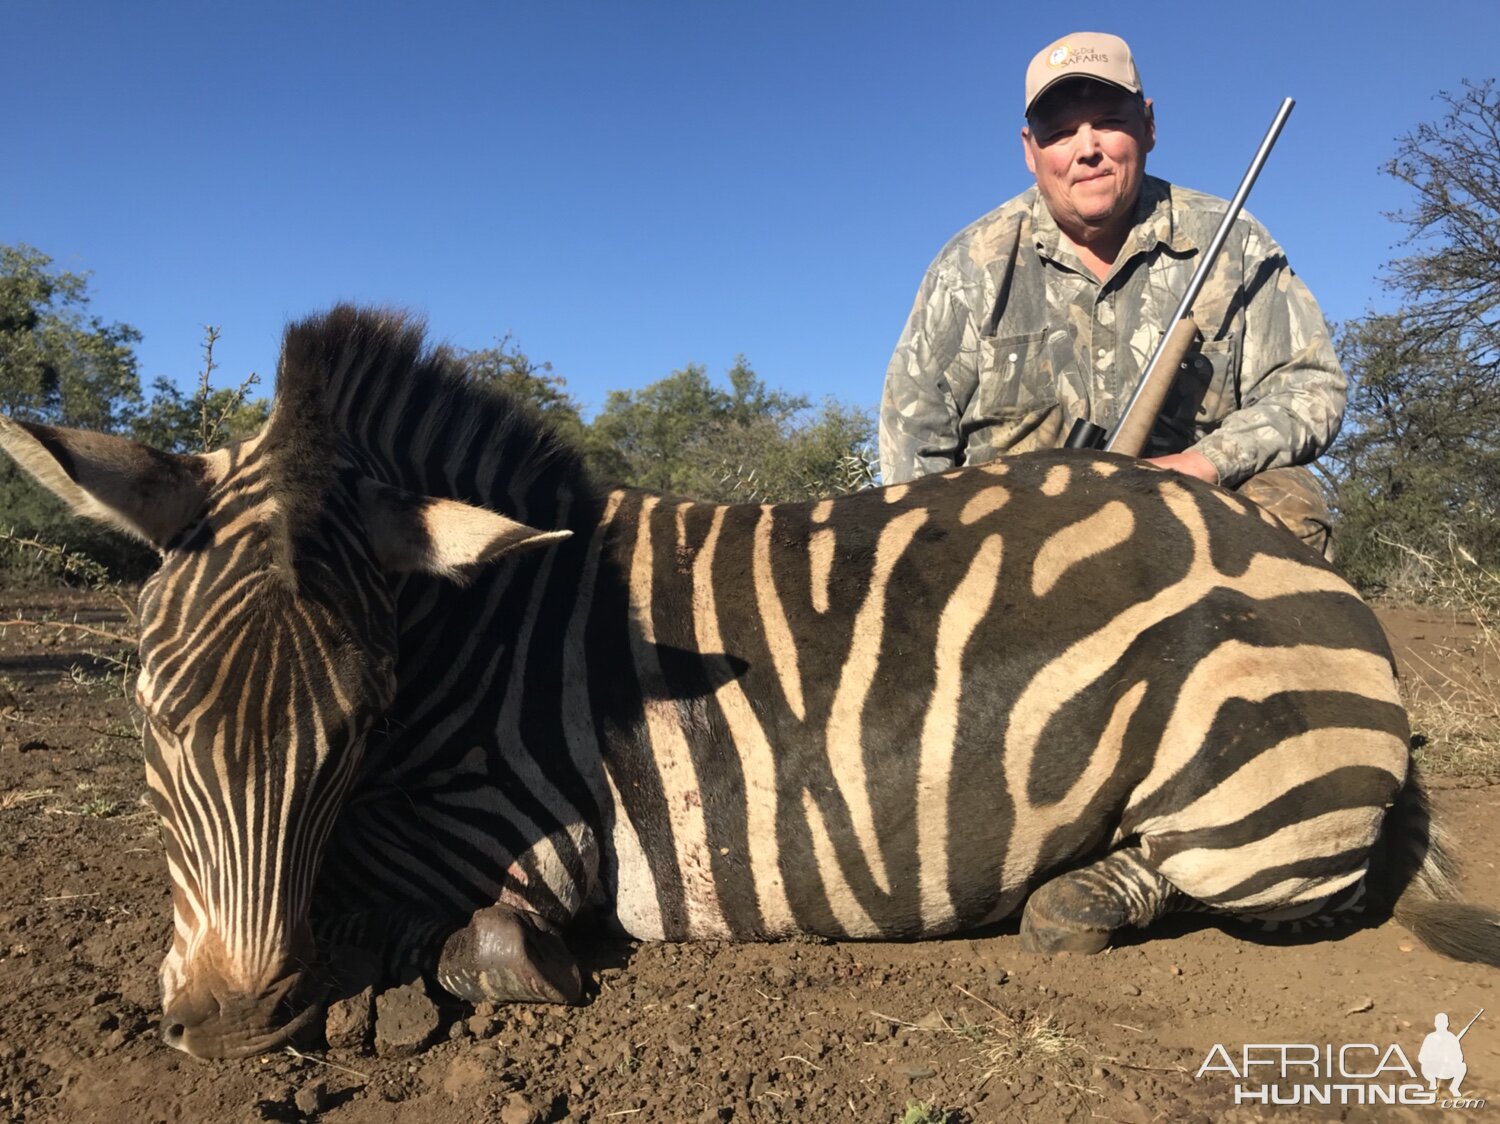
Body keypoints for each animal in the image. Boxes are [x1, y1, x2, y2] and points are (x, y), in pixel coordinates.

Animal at [0, 303, 1494, 1056]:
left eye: (353, 729)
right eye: (148, 714)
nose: (232, 1025)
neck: (475, 630)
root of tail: (1309, 573)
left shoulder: (515, 828)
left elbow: (455, 932)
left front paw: (453, 976)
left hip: (1247, 813)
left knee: (1246, 883)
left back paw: (1072, 898)